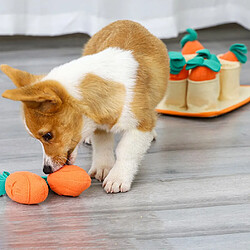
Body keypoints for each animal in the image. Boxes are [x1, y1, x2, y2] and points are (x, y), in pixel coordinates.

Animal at [0, 21, 169, 193]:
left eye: (47, 136)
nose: (46, 170)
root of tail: (125, 21)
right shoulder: (99, 125)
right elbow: (102, 146)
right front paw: (103, 168)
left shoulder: (140, 126)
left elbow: (126, 151)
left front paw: (117, 178)